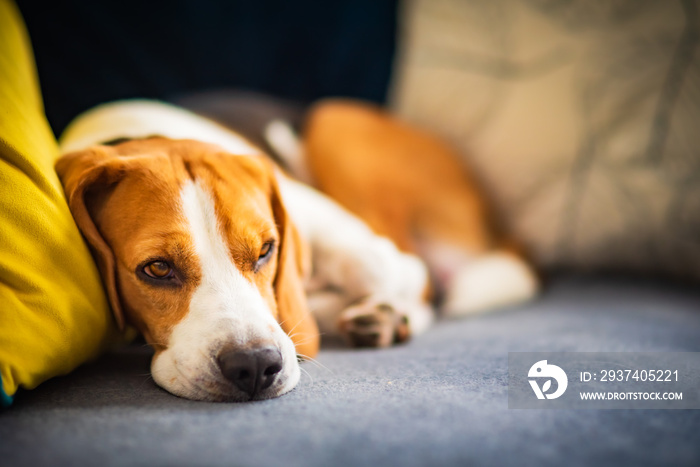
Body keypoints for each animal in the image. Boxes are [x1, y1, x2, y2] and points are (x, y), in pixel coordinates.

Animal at [56, 100, 536, 404]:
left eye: (267, 250)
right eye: (156, 269)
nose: (254, 366)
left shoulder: (348, 237)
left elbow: (389, 270)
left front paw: (382, 311)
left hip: (333, 125)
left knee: (420, 273)